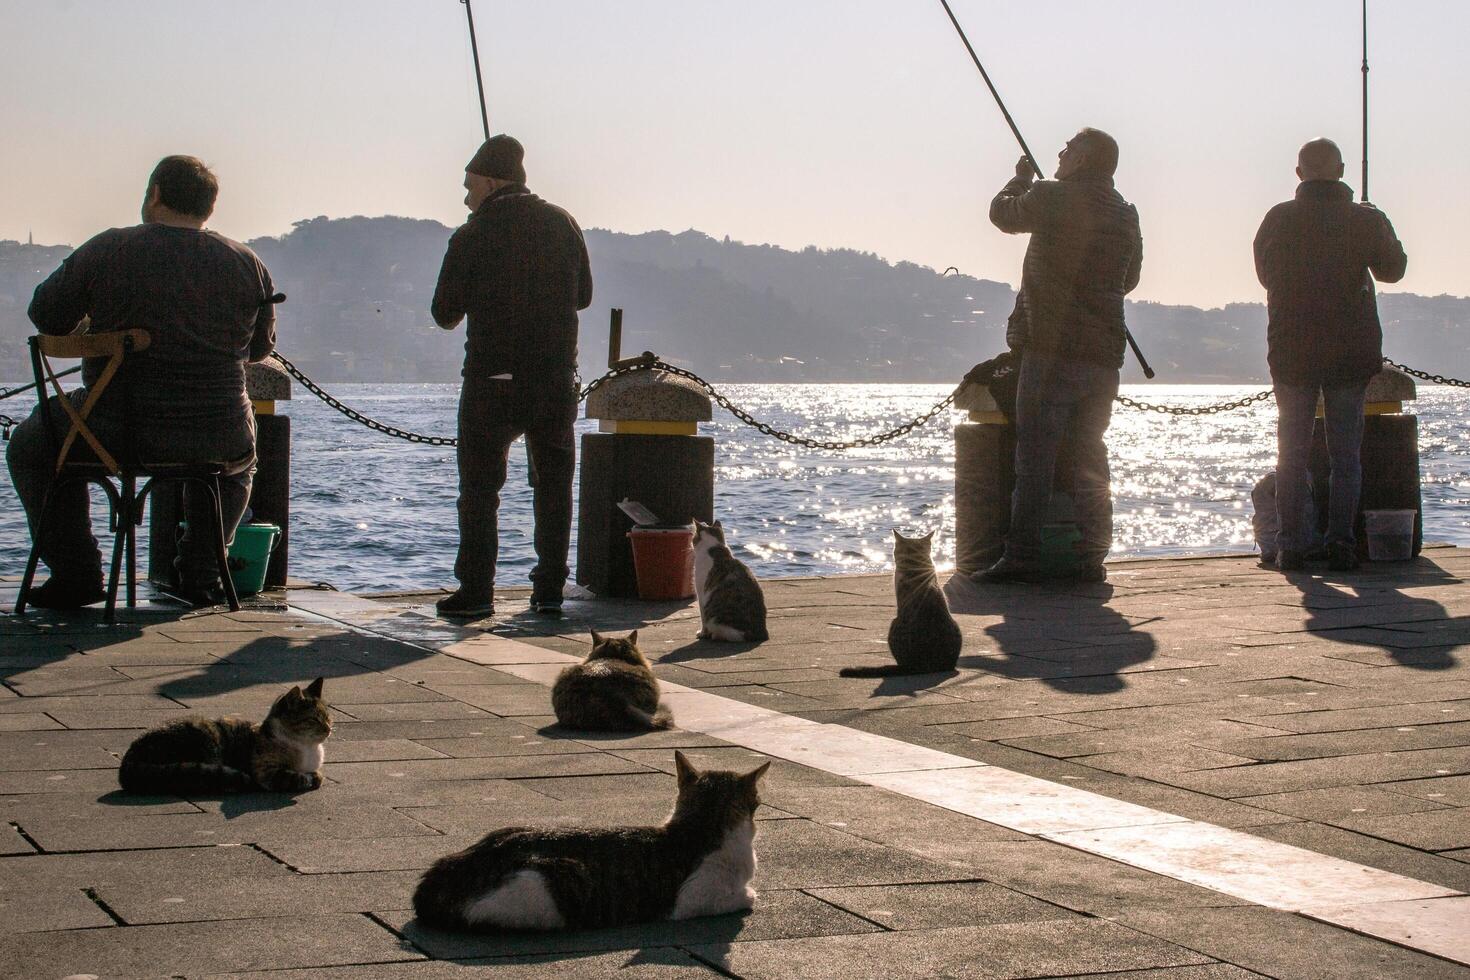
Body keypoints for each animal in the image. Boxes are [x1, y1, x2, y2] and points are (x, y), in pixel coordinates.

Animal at [116, 681, 333, 799]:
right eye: (313, 719)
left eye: (328, 717)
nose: (329, 729)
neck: (307, 748)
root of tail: (129, 758)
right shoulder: (266, 772)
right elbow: (301, 776)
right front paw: (309, 778)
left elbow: (316, 773)